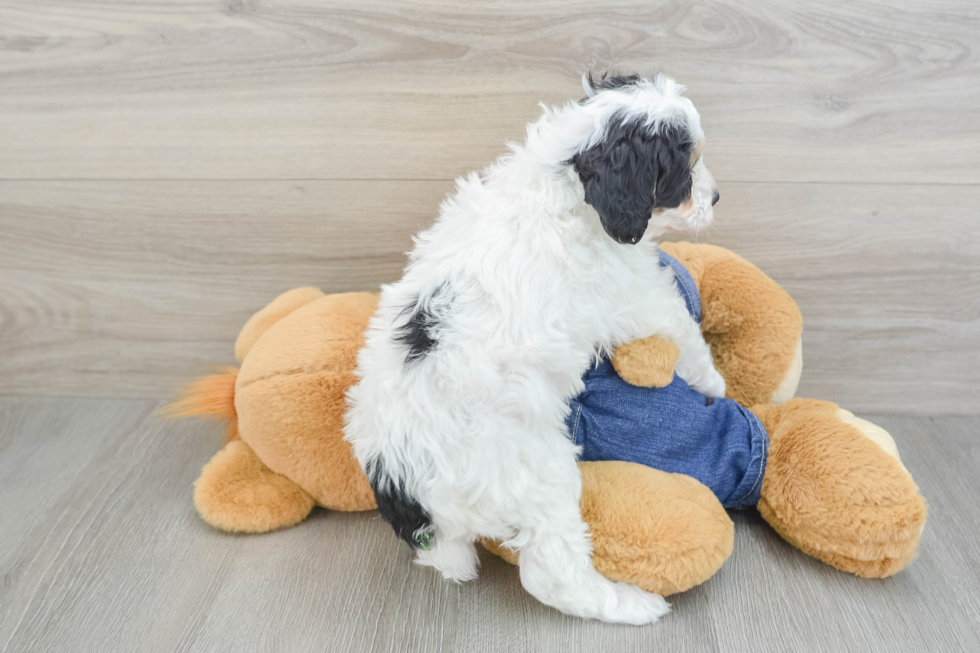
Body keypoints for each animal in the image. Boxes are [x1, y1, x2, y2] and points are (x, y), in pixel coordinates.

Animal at [346, 71, 728, 620]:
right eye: (684, 170)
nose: (715, 197)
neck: (561, 180)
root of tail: (402, 484)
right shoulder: (636, 294)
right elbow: (683, 329)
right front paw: (717, 382)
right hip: (537, 473)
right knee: (552, 574)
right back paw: (630, 604)